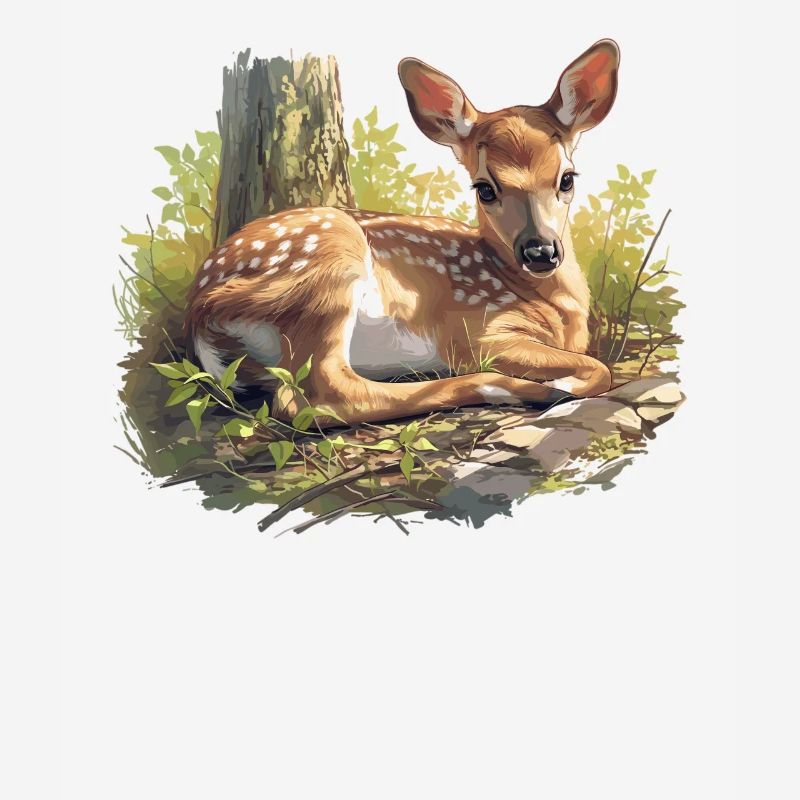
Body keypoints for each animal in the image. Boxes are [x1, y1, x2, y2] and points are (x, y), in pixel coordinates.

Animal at [185, 39, 620, 426]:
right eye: (484, 188)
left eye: (567, 178)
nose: (540, 251)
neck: (551, 307)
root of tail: (199, 309)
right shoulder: (479, 330)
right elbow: (598, 368)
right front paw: (564, 383)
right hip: (329, 265)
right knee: (317, 397)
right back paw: (523, 390)